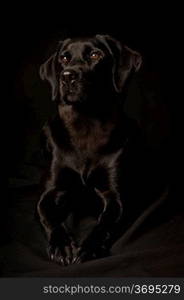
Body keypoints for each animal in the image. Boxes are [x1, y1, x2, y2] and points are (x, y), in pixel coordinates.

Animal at [37, 34, 142, 264]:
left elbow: (104, 224)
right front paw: (62, 245)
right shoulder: (50, 192)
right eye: (64, 58)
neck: (85, 125)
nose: (67, 76)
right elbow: (49, 217)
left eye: (95, 55)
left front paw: (89, 247)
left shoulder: (114, 196)